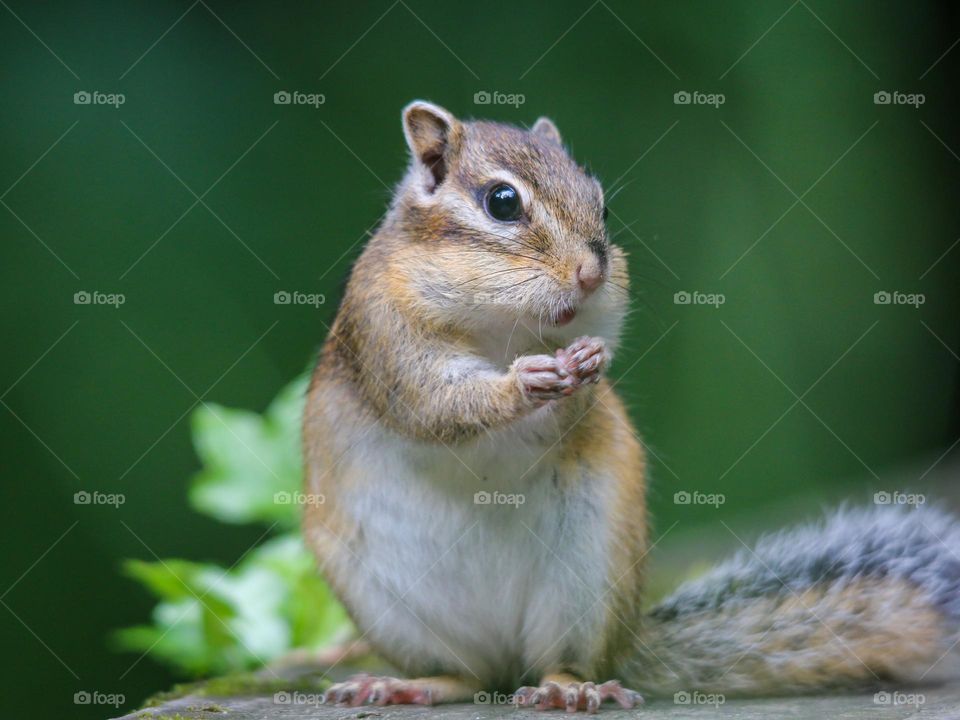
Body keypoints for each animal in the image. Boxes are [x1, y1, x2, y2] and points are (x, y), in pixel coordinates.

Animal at [302, 100, 960, 712]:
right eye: (502, 202)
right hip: (391, 606)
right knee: (465, 676)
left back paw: (566, 690)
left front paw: (587, 367)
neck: (498, 328)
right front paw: (524, 381)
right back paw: (402, 684)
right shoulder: (386, 335)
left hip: (586, 580)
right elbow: (434, 402)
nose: (593, 272)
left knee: (555, 664)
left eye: (601, 204)